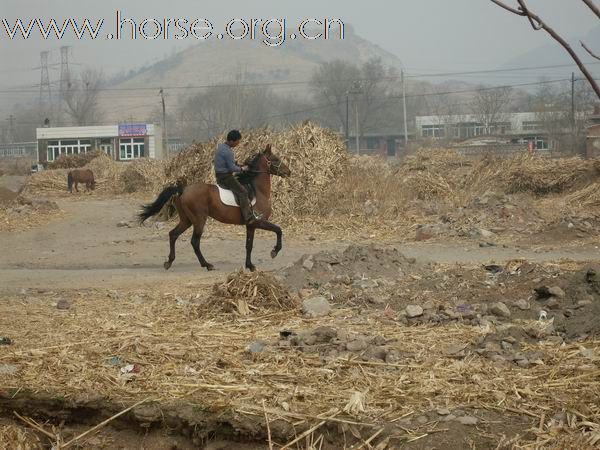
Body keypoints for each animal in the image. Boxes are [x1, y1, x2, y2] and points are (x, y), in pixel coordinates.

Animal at [139, 145, 292, 270]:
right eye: (275, 159)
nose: (288, 172)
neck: (258, 190)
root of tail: (183, 189)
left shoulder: (251, 225)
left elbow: (249, 245)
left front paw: (250, 266)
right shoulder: (259, 221)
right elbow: (279, 230)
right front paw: (274, 251)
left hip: (186, 220)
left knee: (173, 234)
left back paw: (169, 262)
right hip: (199, 220)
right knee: (195, 242)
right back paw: (207, 265)